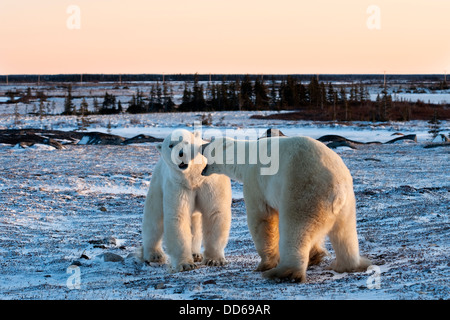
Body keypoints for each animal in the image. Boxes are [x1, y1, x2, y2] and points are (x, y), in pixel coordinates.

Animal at [142, 129, 232, 272]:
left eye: (186, 142)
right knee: (154, 219)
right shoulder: (178, 185)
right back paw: (154, 254)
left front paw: (214, 260)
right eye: (170, 145)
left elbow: (215, 213)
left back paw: (195, 254)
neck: (193, 177)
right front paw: (185, 264)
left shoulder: (210, 182)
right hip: (157, 184)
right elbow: (179, 216)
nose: (180, 154)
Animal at [202, 135, 370, 282]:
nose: (202, 146)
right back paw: (346, 265)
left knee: (296, 228)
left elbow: (262, 218)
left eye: (209, 145)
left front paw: (264, 264)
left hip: (304, 190)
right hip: (348, 204)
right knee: (345, 233)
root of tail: (337, 189)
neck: (246, 157)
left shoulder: (256, 182)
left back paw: (283, 272)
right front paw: (315, 255)